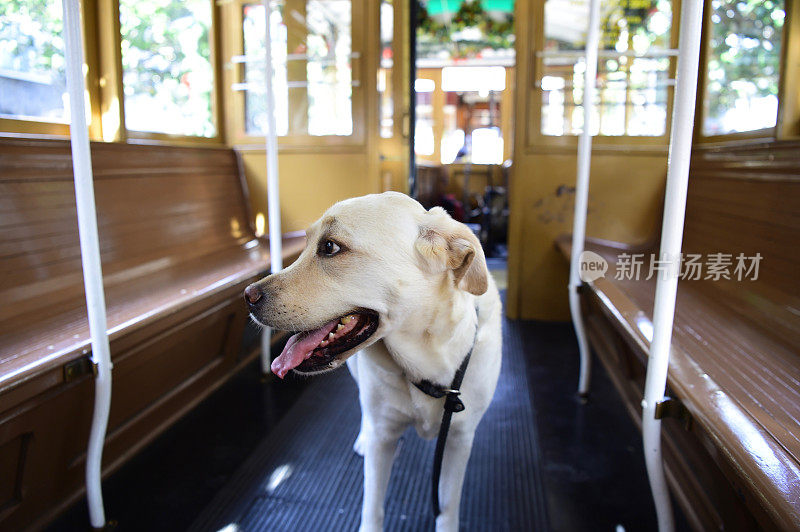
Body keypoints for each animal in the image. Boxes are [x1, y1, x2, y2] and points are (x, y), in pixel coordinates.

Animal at [244, 192, 500, 532]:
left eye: (330, 247)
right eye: (308, 242)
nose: (247, 296)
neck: (427, 359)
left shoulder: (459, 442)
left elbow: (448, 508)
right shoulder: (384, 437)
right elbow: (373, 506)